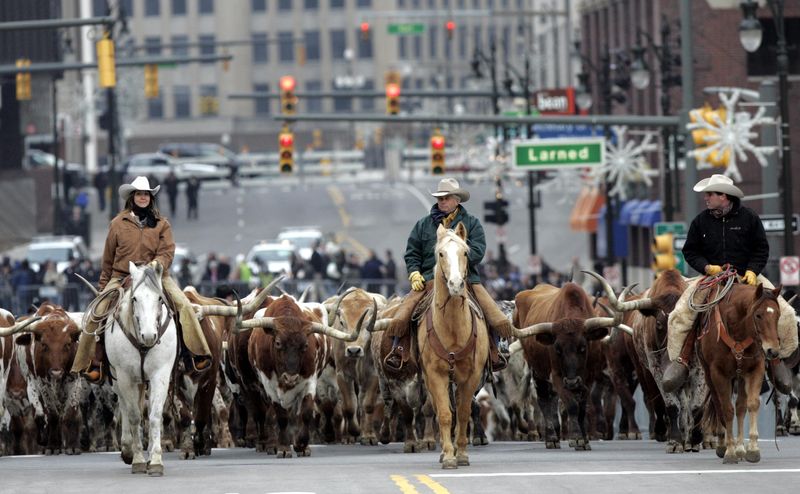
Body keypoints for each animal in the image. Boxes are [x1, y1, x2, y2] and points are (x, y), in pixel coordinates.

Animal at [105, 262, 177, 474]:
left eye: (160, 298)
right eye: (135, 298)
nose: (149, 336)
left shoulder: (160, 374)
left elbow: (154, 415)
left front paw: (155, 460)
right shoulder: (125, 377)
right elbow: (134, 416)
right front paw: (137, 458)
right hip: (117, 379)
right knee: (124, 406)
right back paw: (127, 449)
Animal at [418, 222, 488, 468]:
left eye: (465, 252)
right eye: (441, 253)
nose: (456, 284)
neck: (453, 329)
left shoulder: (472, 375)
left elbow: (464, 412)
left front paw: (463, 454)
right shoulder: (436, 374)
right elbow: (445, 414)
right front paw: (448, 456)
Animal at [700, 282, 780, 464]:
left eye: (778, 315)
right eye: (758, 315)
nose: (773, 351)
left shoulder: (755, 369)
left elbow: (752, 404)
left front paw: (752, 449)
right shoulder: (719, 373)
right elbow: (727, 410)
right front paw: (730, 451)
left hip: (740, 377)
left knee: (741, 407)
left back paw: (741, 448)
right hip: (710, 376)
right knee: (718, 405)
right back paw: (723, 445)